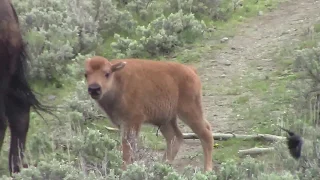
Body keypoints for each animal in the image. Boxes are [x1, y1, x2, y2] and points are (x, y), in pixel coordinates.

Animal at [84, 55, 214, 171]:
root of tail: (191, 70)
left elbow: (128, 147)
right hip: (166, 119)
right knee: (175, 137)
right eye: (86, 74)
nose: (94, 89)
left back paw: (207, 170)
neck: (118, 80)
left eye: (107, 73)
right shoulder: (123, 123)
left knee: (205, 133)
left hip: (189, 111)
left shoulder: (133, 121)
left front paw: (125, 170)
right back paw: (163, 165)